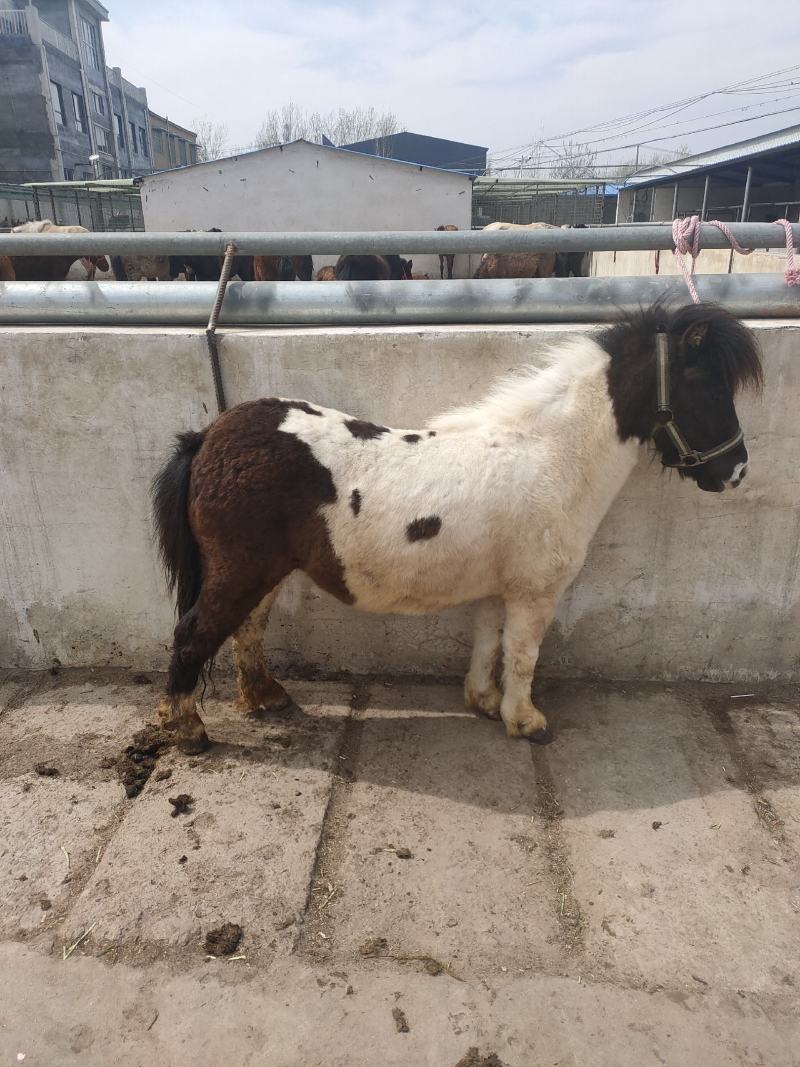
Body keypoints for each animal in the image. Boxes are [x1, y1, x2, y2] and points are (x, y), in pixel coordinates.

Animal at [152, 302, 761, 755]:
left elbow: (489, 644)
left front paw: (485, 703)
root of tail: (208, 438)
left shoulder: (498, 589)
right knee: (193, 635)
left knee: (247, 630)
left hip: (262, 572)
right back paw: (189, 731)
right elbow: (522, 654)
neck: (552, 454)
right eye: (706, 385)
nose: (736, 471)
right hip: (241, 570)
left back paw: (266, 697)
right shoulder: (534, 593)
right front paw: (525, 722)